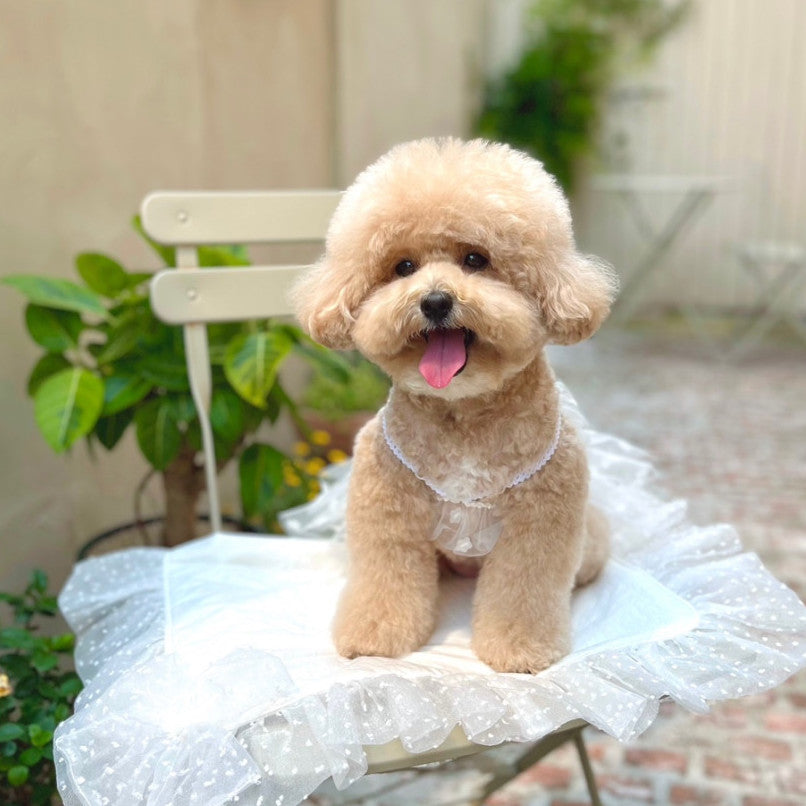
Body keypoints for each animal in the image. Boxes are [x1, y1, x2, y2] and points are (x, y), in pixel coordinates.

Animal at [294, 139, 616, 676]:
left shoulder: (539, 523)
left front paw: (520, 649)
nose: (435, 301)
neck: (463, 414)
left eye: (475, 259)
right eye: (403, 267)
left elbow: (523, 590)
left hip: (586, 536)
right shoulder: (388, 512)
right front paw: (373, 637)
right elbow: (384, 581)